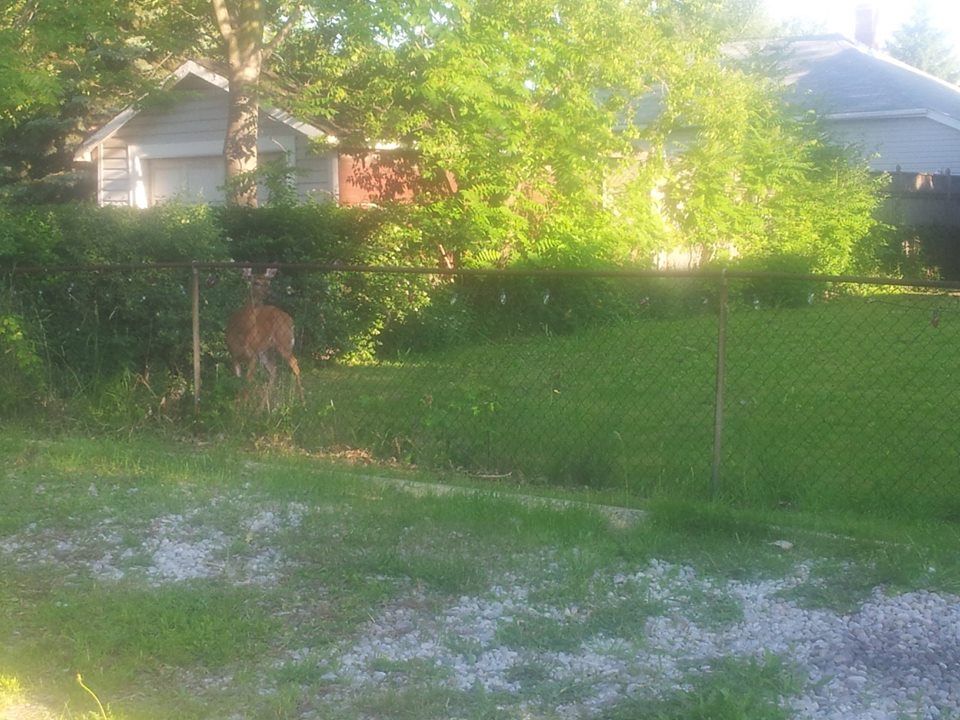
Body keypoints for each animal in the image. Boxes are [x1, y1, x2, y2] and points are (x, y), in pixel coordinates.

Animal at [226, 267, 304, 405]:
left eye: (268, 283)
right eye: (256, 282)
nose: (268, 293)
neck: (242, 331)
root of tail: (289, 319)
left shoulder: (253, 356)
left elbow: (247, 383)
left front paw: (243, 407)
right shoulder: (234, 356)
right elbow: (239, 383)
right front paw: (238, 407)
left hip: (284, 342)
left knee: (294, 364)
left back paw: (303, 402)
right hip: (267, 351)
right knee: (274, 371)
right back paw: (262, 408)